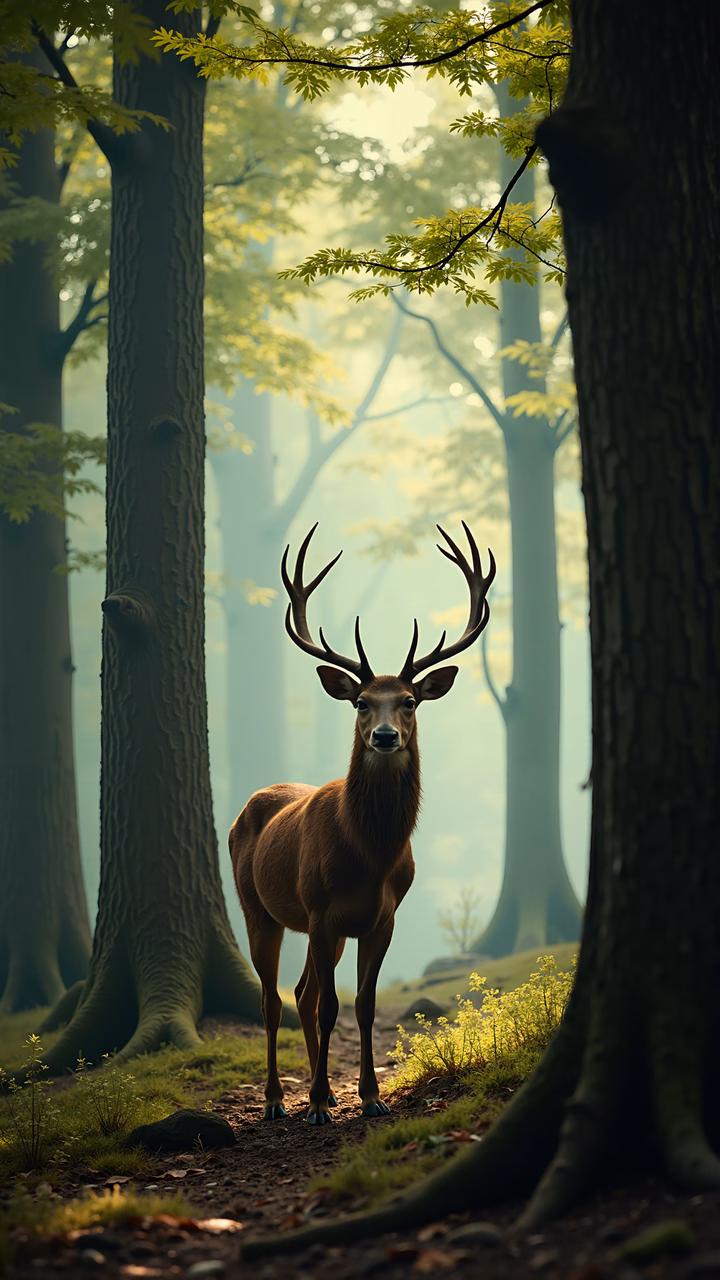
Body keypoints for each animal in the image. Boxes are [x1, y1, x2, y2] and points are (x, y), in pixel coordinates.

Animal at [229, 522, 495, 1125]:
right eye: (361, 703)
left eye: (411, 700)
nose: (385, 735)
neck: (369, 855)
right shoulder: (322, 910)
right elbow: (333, 1007)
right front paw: (317, 1107)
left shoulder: (381, 917)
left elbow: (365, 1005)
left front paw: (369, 1097)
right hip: (261, 908)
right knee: (273, 999)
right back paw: (278, 1100)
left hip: (306, 925)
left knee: (300, 993)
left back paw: (322, 1091)